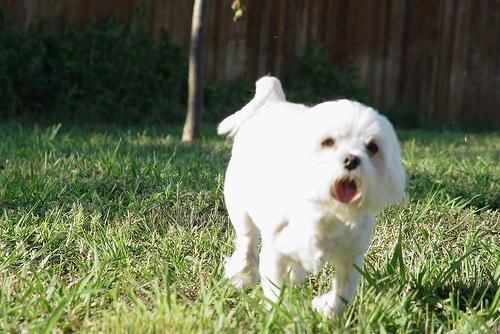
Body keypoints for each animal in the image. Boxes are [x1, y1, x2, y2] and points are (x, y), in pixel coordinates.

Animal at [217, 76, 404, 318]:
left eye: (372, 147)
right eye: (328, 142)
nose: (351, 160)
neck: (326, 211)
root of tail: (276, 102)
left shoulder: (350, 258)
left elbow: (342, 293)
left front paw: (328, 313)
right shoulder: (275, 251)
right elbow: (275, 288)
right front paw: (284, 314)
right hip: (239, 206)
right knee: (247, 240)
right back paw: (244, 274)